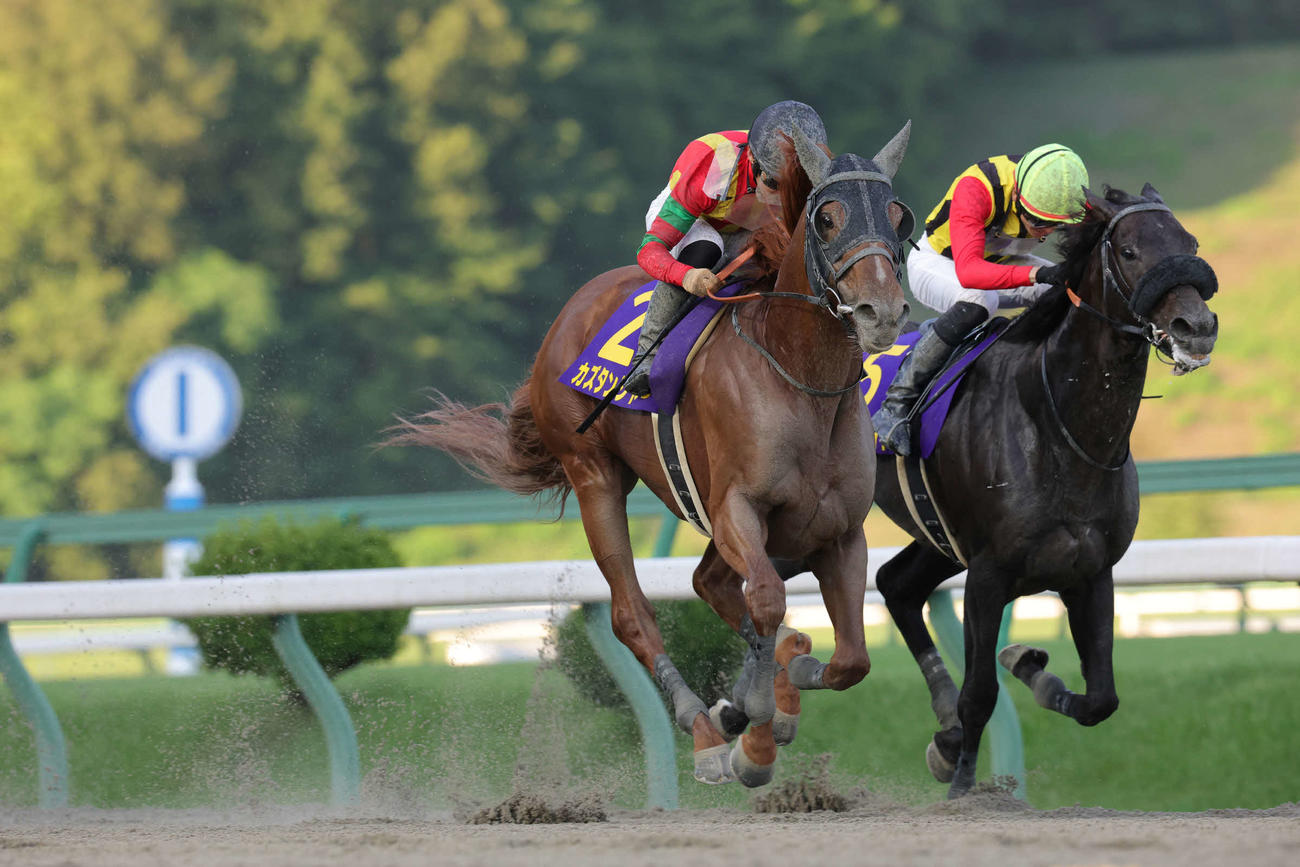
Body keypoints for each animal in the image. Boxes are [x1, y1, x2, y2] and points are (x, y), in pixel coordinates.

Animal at [391, 123, 915, 787]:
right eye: (825, 218)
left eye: (898, 216)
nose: (883, 313)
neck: (798, 376)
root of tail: (571, 310)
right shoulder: (736, 510)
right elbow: (767, 601)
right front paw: (754, 736)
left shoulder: (839, 531)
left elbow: (850, 660)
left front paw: (775, 687)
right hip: (594, 476)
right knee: (633, 613)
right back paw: (705, 732)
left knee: (709, 584)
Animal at [870, 184, 1220, 798]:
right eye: (1129, 251)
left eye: (1191, 243)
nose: (1195, 326)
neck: (1059, 428)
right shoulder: (987, 576)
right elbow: (980, 693)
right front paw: (963, 786)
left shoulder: (1091, 572)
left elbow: (1101, 698)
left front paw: (1025, 667)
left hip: (940, 537)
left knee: (896, 583)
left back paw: (943, 729)